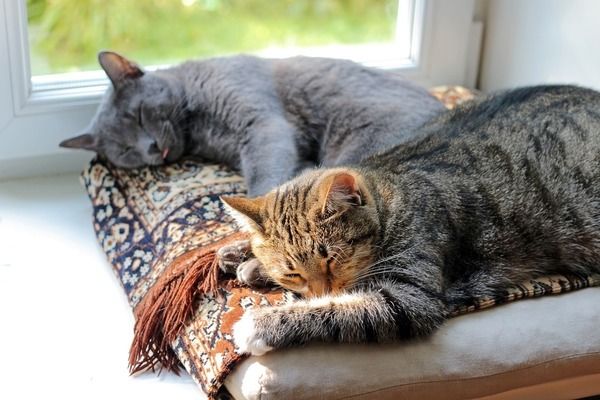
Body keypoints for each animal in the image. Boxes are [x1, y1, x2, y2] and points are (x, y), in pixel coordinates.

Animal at [220, 86, 600, 354]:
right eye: (293, 274)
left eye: (331, 259)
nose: (321, 291)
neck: (392, 192)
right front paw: (244, 257)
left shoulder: (409, 298)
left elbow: (334, 311)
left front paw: (261, 324)